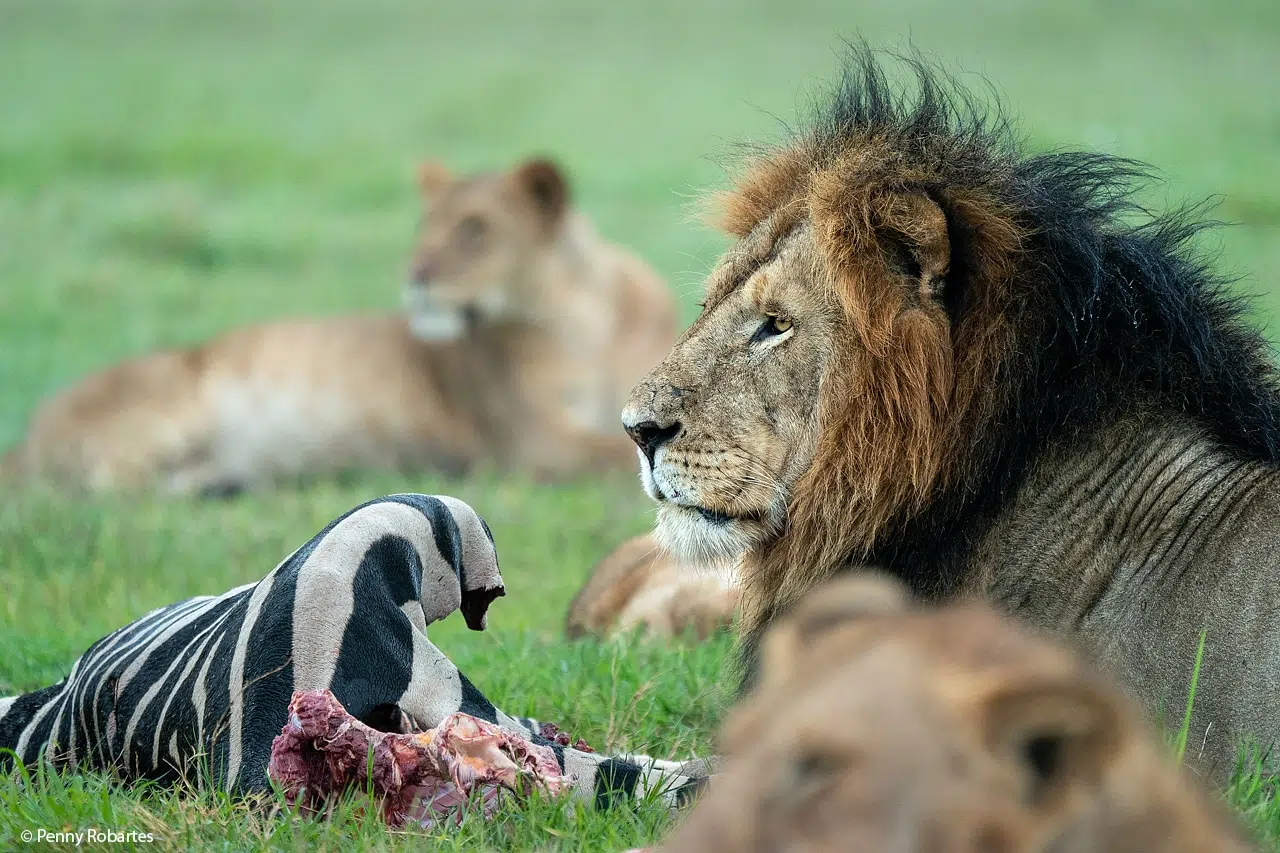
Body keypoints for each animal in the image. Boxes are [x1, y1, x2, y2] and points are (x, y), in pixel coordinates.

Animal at [5, 158, 675, 491]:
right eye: (426, 226)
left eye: (476, 228)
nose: (415, 273)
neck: (584, 317)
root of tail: (29, 430)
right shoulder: (530, 442)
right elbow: (614, 458)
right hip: (172, 400)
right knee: (99, 484)